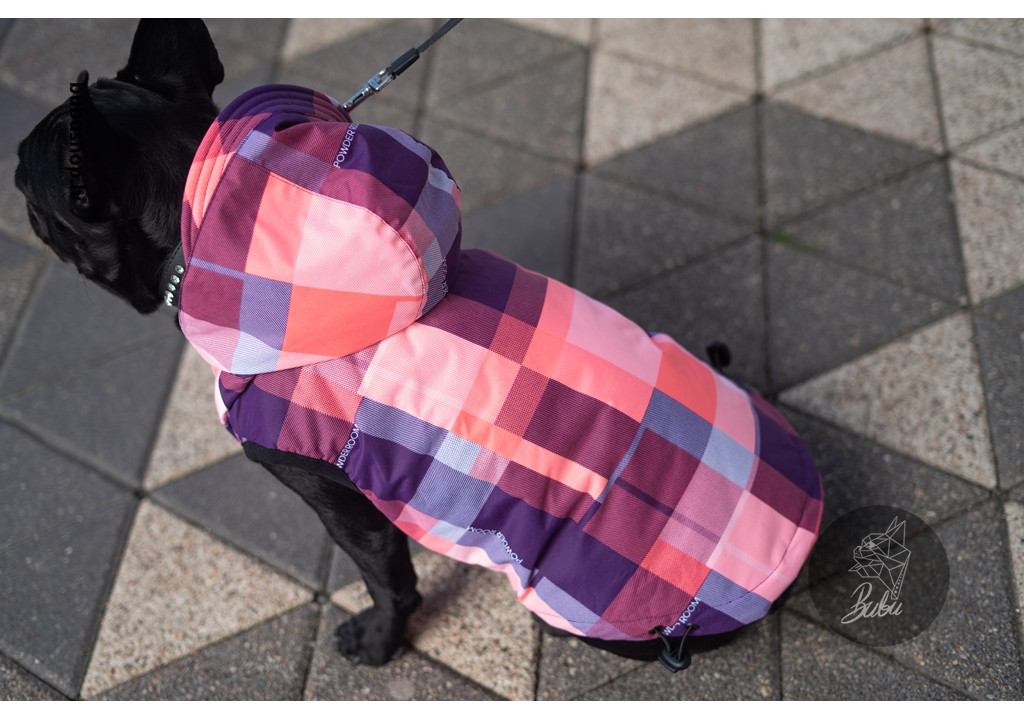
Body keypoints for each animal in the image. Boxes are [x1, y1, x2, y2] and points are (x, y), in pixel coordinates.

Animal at [16, 18, 823, 671]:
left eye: (27, 188)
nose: (16, 199)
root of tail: (800, 543)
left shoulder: (332, 491)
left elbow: (386, 574)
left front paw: (380, 642)